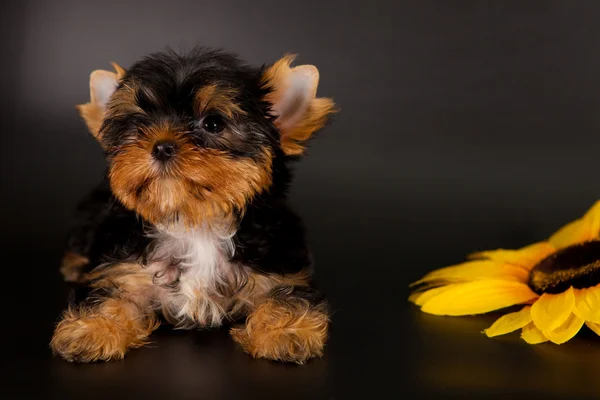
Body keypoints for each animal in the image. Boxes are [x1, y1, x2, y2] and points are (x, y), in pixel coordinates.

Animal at [49, 46, 336, 362]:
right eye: (139, 124)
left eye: (213, 123)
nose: (162, 146)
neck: (194, 222)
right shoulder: (125, 271)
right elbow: (108, 294)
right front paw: (91, 329)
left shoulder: (278, 267)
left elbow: (287, 294)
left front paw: (284, 331)